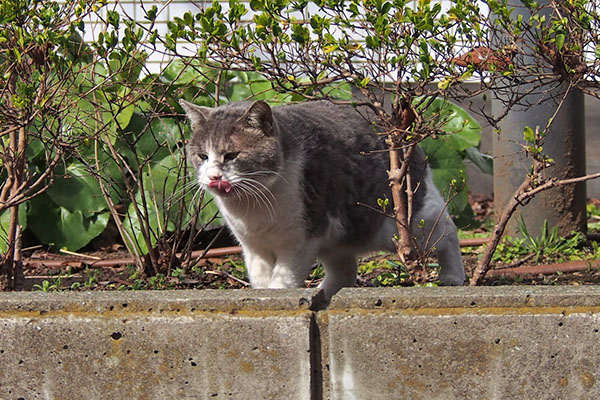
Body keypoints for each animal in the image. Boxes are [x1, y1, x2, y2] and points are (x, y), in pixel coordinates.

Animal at [180, 100, 466, 300]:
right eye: (202, 156)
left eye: (231, 155)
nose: (213, 176)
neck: (252, 208)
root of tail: (399, 133)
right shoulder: (253, 247)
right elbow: (261, 280)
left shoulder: (300, 241)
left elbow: (282, 280)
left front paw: (278, 296)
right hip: (336, 240)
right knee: (345, 271)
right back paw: (323, 296)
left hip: (406, 223)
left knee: (448, 231)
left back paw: (453, 276)